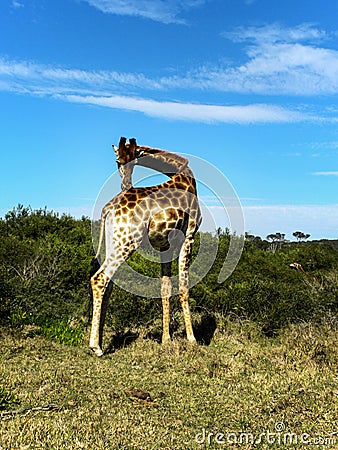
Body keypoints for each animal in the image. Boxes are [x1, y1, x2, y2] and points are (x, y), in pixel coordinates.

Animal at [88, 136, 202, 356]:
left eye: (132, 160)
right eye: (117, 161)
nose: (126, 184)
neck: (182, 173)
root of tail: (108, 209)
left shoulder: (166, 246)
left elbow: (165, 287)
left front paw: (166, 339)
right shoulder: (190, 235)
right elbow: (184, 288)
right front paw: (193, 340)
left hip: (114, 241)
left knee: (108, 284)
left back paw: (102, 341)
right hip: (127, 241)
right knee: (99, 279)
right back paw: (95, 347)